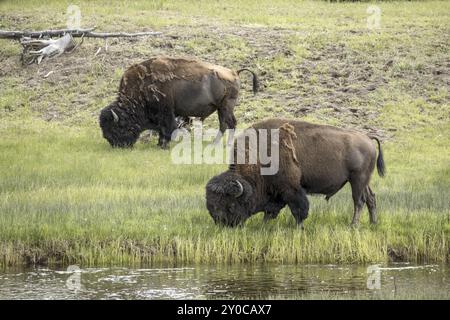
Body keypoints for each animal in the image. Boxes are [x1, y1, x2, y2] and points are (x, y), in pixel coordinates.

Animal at [100, 56, 258, 149]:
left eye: (116, 127)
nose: (116, 145)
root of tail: (234, 72)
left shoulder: (166, 112)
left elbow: (168, 128)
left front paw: (163, 145)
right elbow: (162, 130)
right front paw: (159, 144)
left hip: (226, 106)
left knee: (231, 123)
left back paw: (227, 145)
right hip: (221, 108)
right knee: (223, 124)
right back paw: (215, 144)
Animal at [206, 118, 384, 228]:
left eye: (230, 205)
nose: (223, 223)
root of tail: (367, 138)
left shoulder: (291, 189)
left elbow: (298, 209)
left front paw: (299, 228)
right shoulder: (276, 192)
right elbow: (271, 211)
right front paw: (264, 225)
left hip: (357, 180)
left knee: (359, 201)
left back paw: (353, 225)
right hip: (363, 181)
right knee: (371, 198)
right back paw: (373, 223)